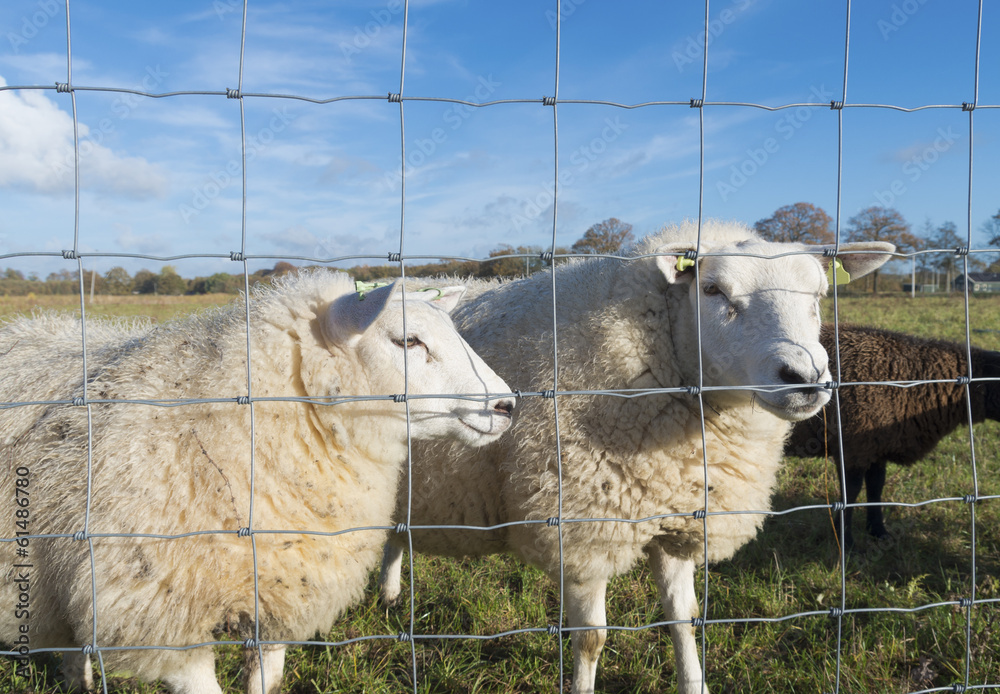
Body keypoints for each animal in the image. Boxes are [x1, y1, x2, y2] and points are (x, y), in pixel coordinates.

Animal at [379, 220, 894, 694]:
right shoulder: (581, 531)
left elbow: (684, 618)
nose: (805, 378)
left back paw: (389, 594)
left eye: (819, 295)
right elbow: (591, 639)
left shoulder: (678, 518)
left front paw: (694, 683)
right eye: (712, 289)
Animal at [785, 323, 1000, 550]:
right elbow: (850, 493)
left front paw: (878, 531)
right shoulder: (853, 448)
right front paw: (846, 542)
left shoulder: (877, 446)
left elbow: (876, 487)